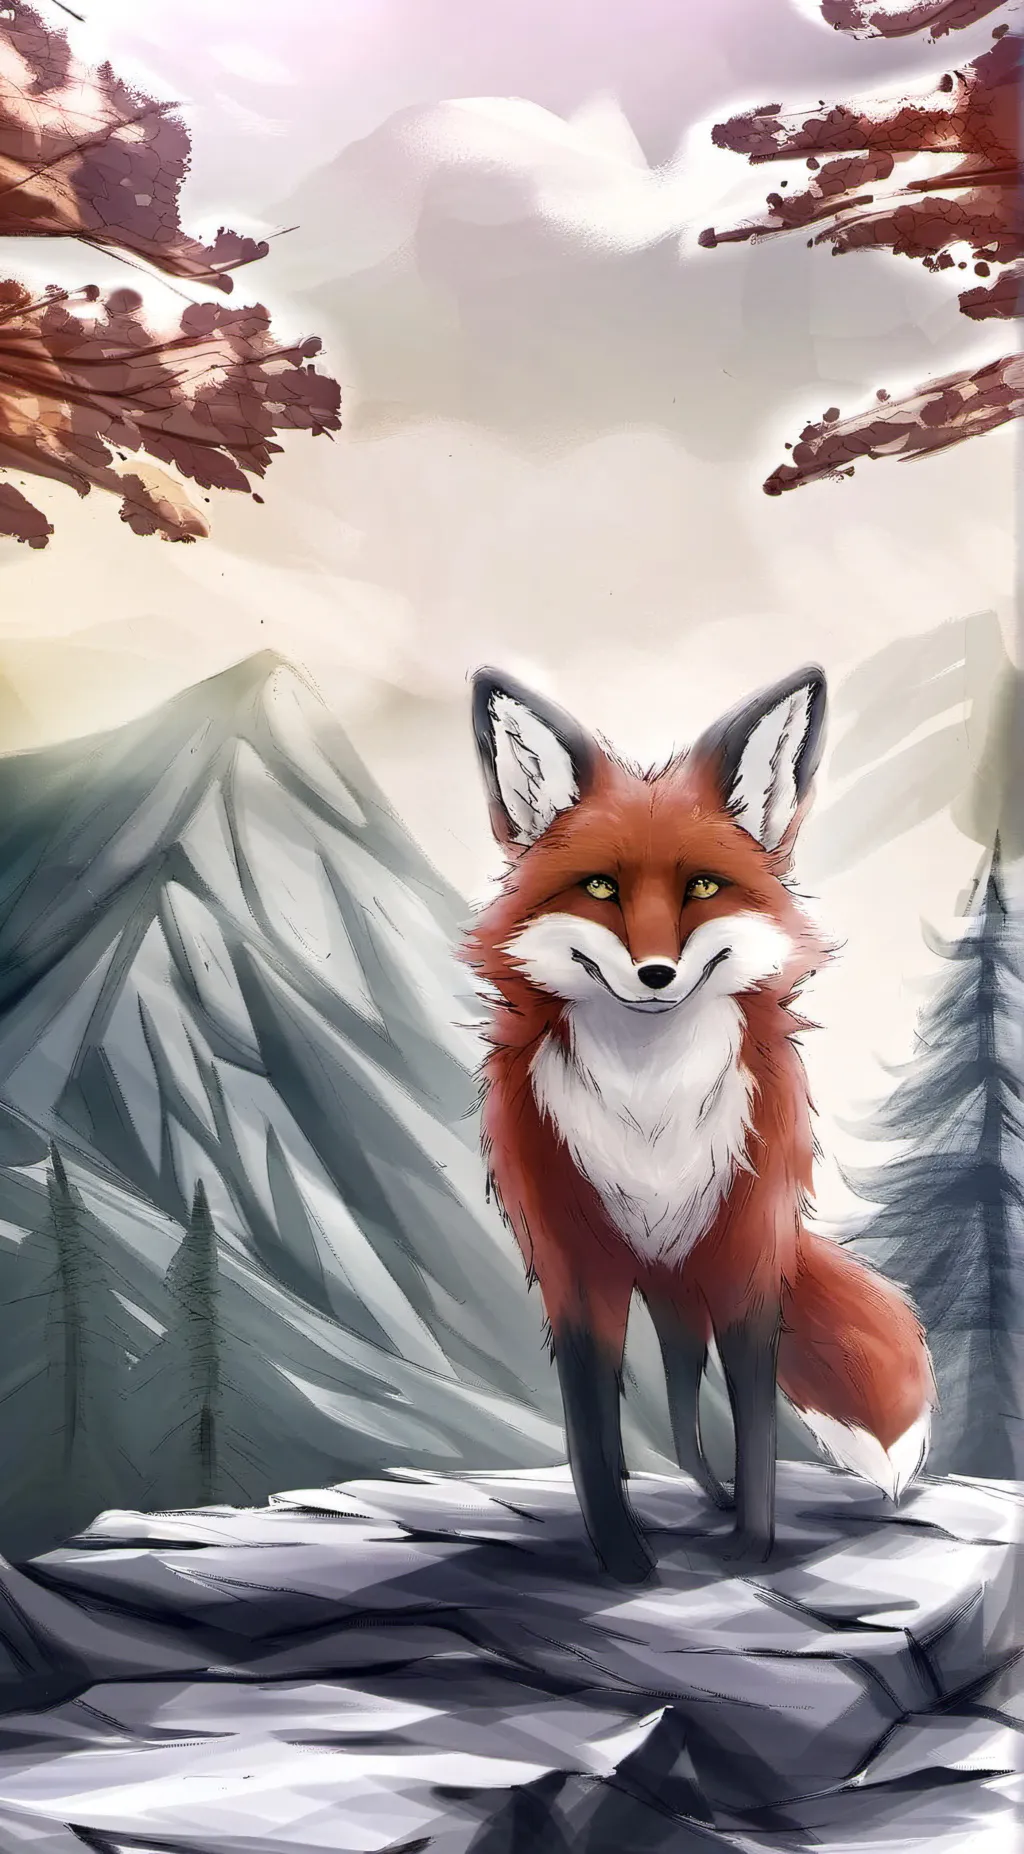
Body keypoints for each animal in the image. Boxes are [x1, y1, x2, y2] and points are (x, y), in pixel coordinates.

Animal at [462, 664, 936, 1584]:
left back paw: (714, 1502)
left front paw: (751, 1546)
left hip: (696, 1283)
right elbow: (590, 1426)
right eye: (601, 888)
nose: (655, 973)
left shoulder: (748, 1258)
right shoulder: (577, 1269)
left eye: (704, 887)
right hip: (662, 1291)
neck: (651, 1111)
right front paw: (619, 1556)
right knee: (673, 1414)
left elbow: (754, 1423)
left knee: (690, 1409)